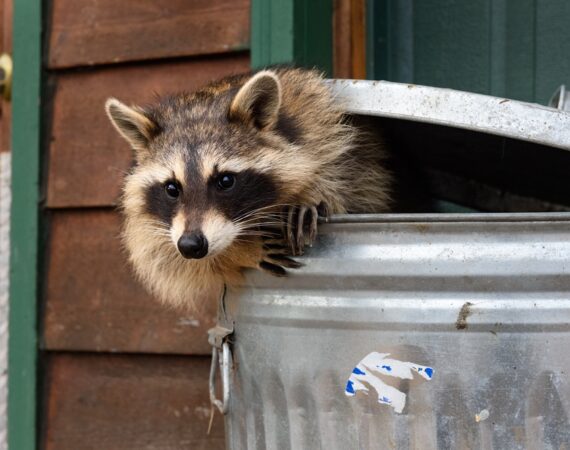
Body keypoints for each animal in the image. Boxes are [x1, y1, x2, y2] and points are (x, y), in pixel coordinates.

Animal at [104, 67, 390, 310]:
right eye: (172, 188)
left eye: (225, 181)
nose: (191, 245)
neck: (203, 106)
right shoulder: (155, 227)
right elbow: (165, 258)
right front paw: (241, 251)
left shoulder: (323, 127)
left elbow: (348, 180)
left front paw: (311, 193)